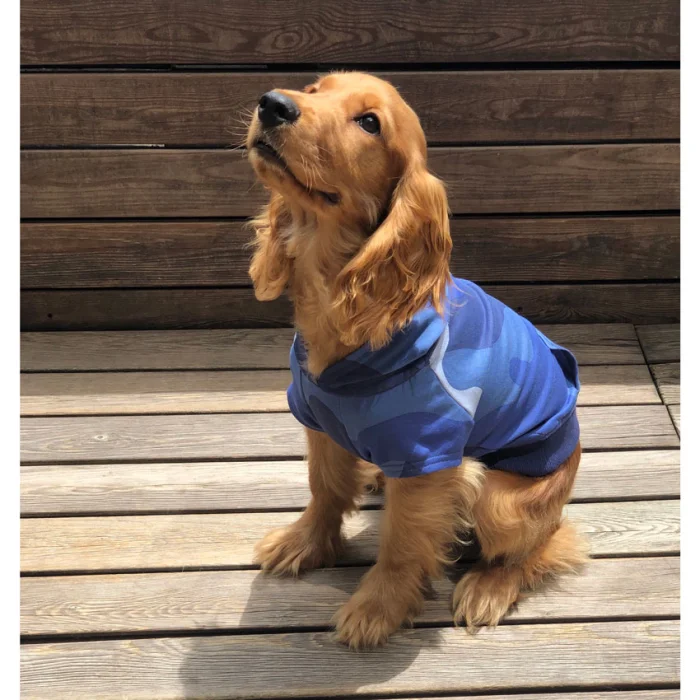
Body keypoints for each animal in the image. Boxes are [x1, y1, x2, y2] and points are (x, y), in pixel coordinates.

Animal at [246, 72, 587, 650]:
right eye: (314, 89)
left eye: (369, 122)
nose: (273, 104)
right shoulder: (320, 421)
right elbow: (325, 487)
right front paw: (305, 542)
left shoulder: (428, 457)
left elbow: (403, 542)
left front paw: (377, 609)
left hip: (503, 500)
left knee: (546, 543)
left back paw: (489, 587)